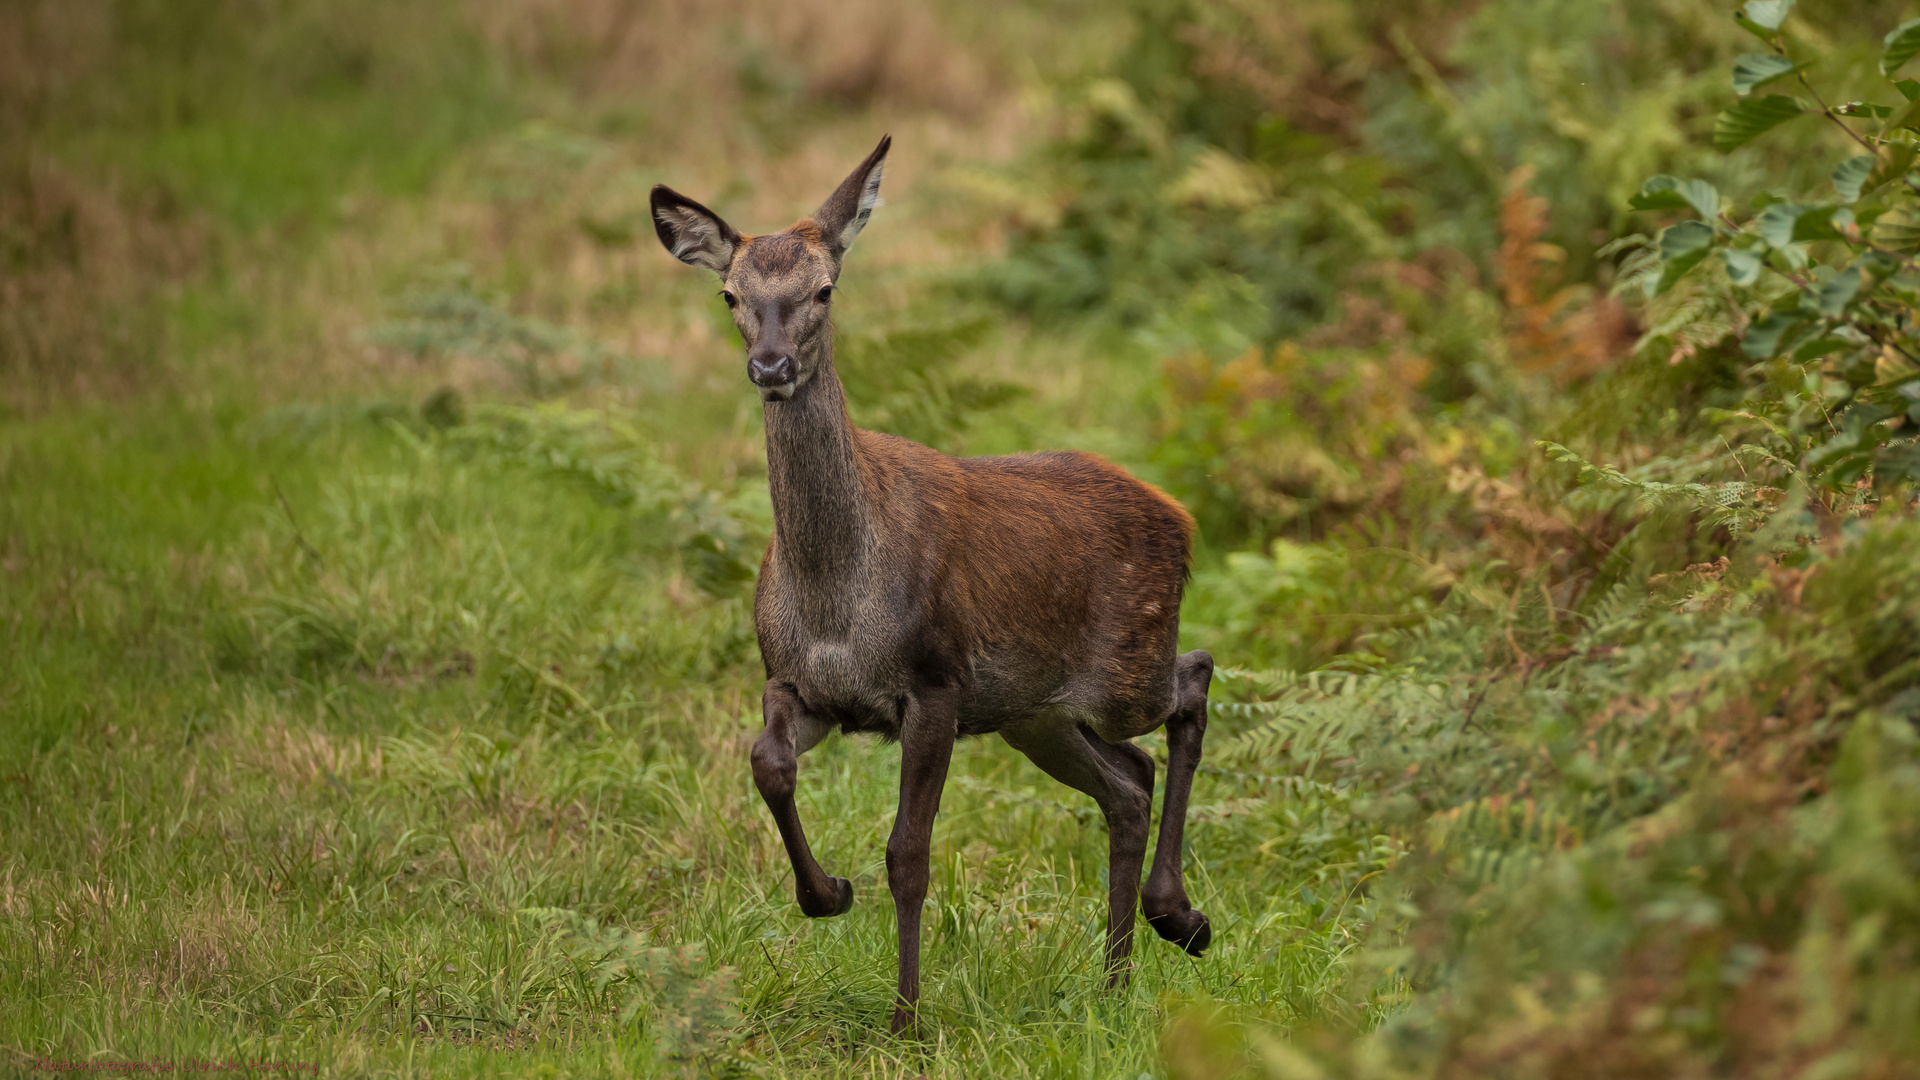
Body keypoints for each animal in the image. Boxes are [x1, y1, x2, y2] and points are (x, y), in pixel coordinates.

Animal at [648, 136, 1213, 1037]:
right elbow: (766, 763)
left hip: (1125, 664)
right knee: (1129, 782)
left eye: (824, 289)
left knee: (1193, 683)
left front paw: (907, 1019)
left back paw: (1179, 918)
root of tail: (1180, 517)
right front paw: (826, 893)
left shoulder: (936, 680)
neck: (837, 600)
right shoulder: (800, 682)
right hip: (1034, 715)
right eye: (730, 293)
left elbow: (908, 853)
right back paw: (1117, 979)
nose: (770, 365)